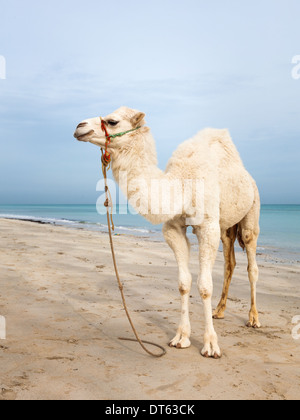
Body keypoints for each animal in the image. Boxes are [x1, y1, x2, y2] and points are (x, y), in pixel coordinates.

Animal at [74, 106, 262, 360]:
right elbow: (184, 283)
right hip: (226, 227)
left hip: (252, 211)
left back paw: (254, 318)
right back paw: (219, 311)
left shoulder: (207, 227)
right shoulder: (174, 228)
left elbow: (205, 286)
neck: (181, 185)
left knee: (252, 263)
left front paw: (211, 345)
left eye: (112, 121)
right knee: (230, 262)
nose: (79, 127)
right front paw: (181, 338)